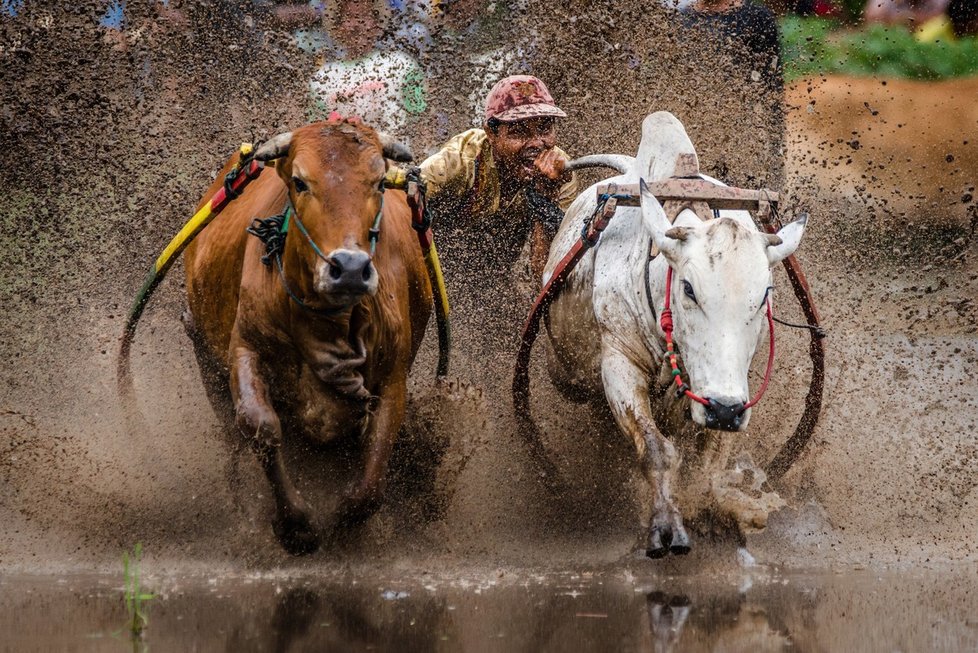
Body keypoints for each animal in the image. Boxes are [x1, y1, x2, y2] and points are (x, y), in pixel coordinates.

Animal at [180, 119, 430, 552]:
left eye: (379, 182)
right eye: (299, 182)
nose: (350, 269)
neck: (329, 323)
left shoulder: (393, 377)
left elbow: (373, 475)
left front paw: (344, 517)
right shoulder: (245, 347)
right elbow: (259, 425)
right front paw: (295, 524)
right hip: (205, 356)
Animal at [536, 111, 804, 556]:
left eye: (764, 295)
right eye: (689, 289)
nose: (724, 410)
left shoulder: (735, 388)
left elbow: (708, 467)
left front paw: (715, 517)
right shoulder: (619, 364)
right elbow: (657, 450)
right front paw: (667, 526)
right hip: (565, 373)